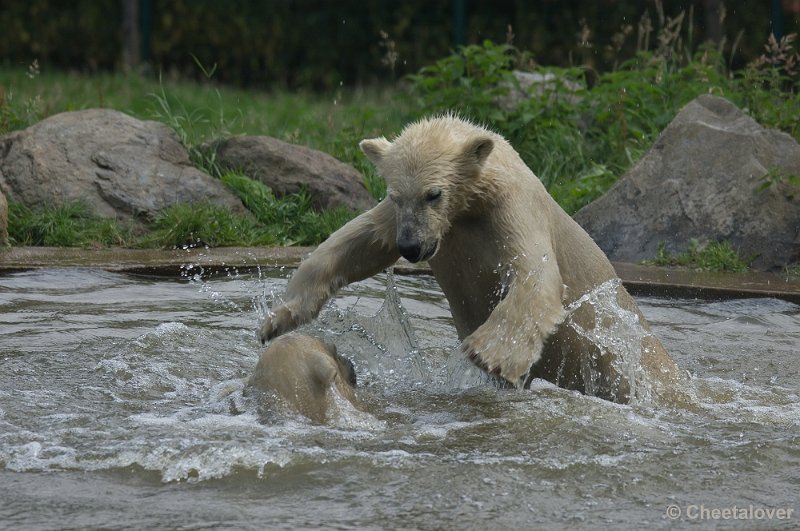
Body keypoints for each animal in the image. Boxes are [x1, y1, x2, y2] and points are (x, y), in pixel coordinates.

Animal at [258, 113, 680, 404]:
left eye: (434, 194)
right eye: (396, 194)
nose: (411, 247)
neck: (474, 199)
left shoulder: (512, 207)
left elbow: (537, 276)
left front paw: (487, 354)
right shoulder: (415, 222)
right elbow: (360, 242)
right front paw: (278, 319)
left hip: (620, 356)